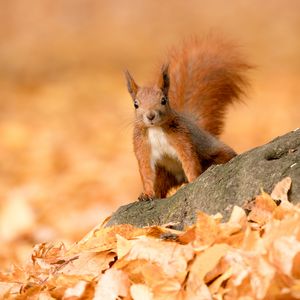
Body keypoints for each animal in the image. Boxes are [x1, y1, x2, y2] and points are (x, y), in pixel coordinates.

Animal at [124, 37, 251, 202]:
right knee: (160, 186)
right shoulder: (142, 147)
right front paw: (147, 193)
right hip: (164, 174)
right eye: (136, 104)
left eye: (164, 100)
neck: (156, 129)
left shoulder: (182, 139)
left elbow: (190, 161)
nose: (150, 115)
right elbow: (146, 172)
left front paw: (194, 180)